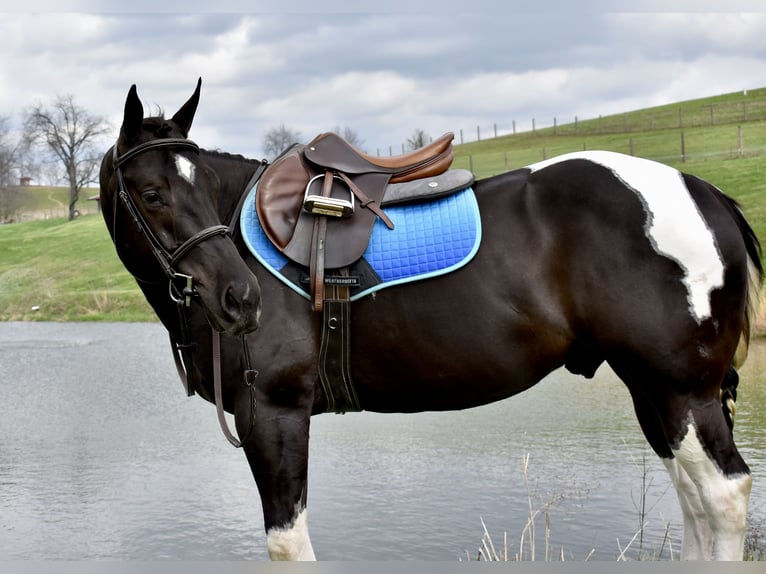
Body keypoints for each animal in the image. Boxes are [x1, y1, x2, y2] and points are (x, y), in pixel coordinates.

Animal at [99, 79, 762, 561]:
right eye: (154, 194)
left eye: (207, 186)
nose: (241, 298)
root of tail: (703, 192)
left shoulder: (274, 415)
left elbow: (288, 546)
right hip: (655, 392)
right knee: (695, 504)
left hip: (682, 390)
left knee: (722, 497)